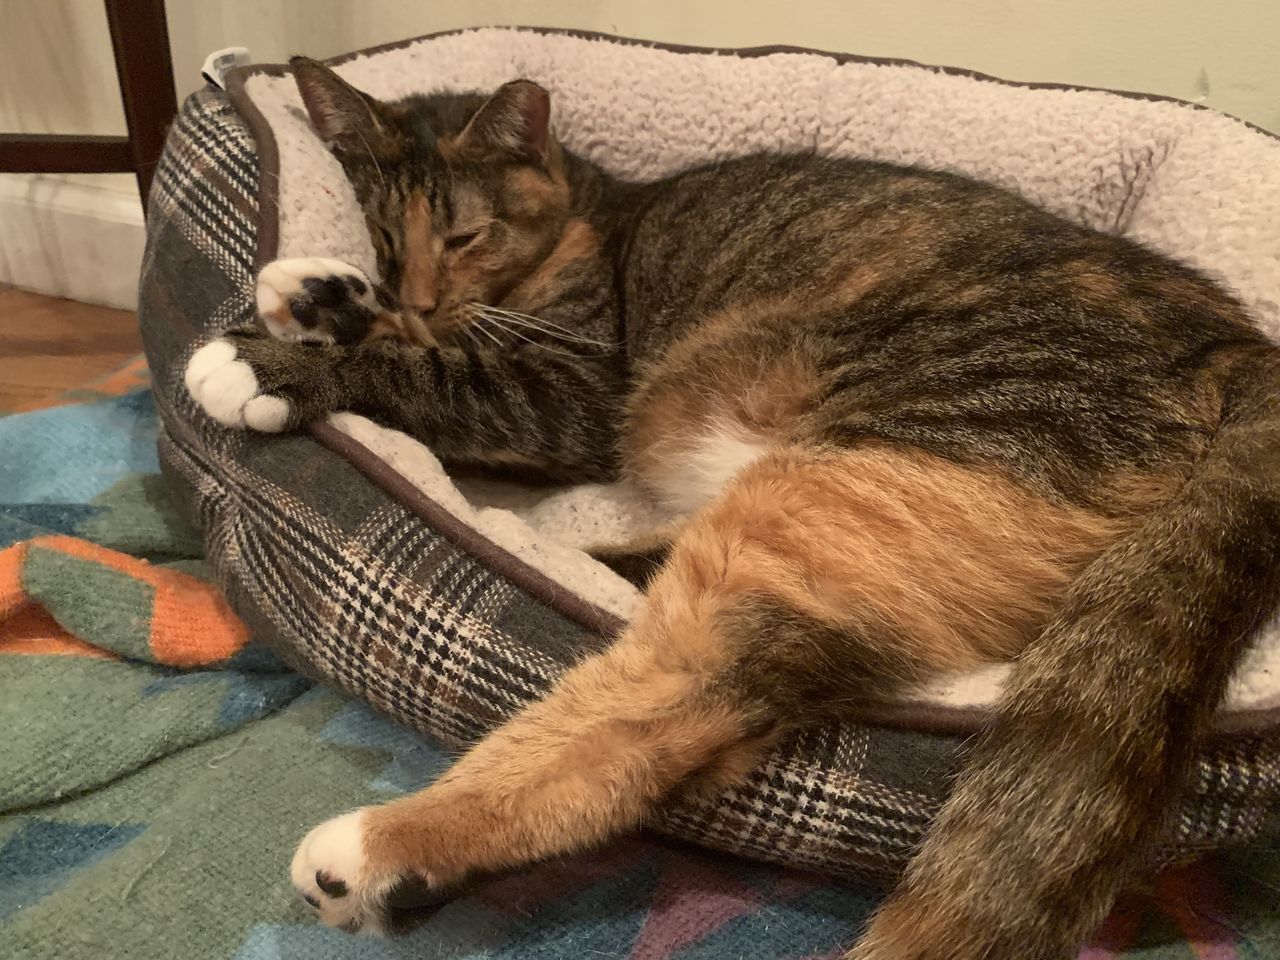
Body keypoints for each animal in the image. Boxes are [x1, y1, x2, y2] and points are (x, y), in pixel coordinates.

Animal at [183, 56, 1280, 957]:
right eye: (377, 228)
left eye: (465, 234)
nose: (408, 292)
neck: (582, 217)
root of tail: (1239, 345)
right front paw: (319, 289)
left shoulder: (567, 389)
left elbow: (436, 370)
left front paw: (271, 358)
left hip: (856, 477)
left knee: (679, 692)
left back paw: (381, 848)